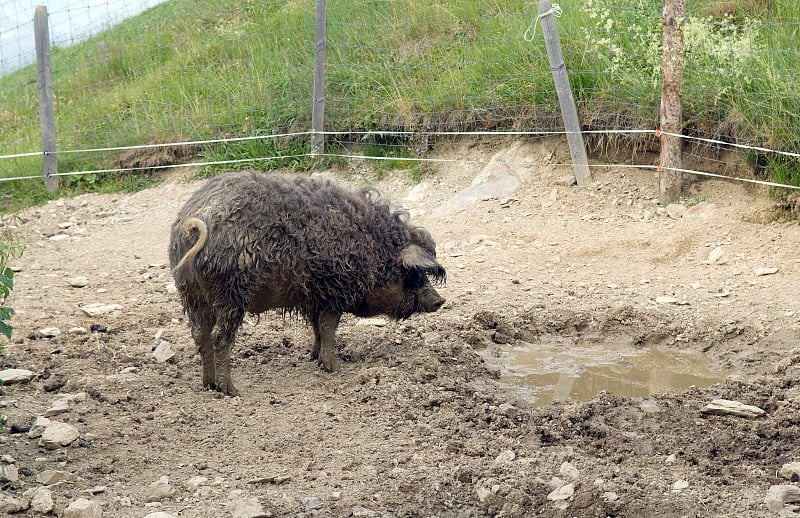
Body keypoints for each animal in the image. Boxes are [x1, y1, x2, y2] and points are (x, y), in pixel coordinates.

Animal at [168, 172, 444, 398]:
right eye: (411, 273)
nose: (440, 300)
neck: (372, 248)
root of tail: (194, 220)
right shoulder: (334, 291)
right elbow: (329, 327)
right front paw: (334, 367)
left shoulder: (314, 296)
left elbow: (317, 328)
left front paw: (313, 358)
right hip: (231, 294)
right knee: (219, 337)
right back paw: (231, 391)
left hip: (191, 295)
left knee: (200, 335)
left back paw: (209, 385)